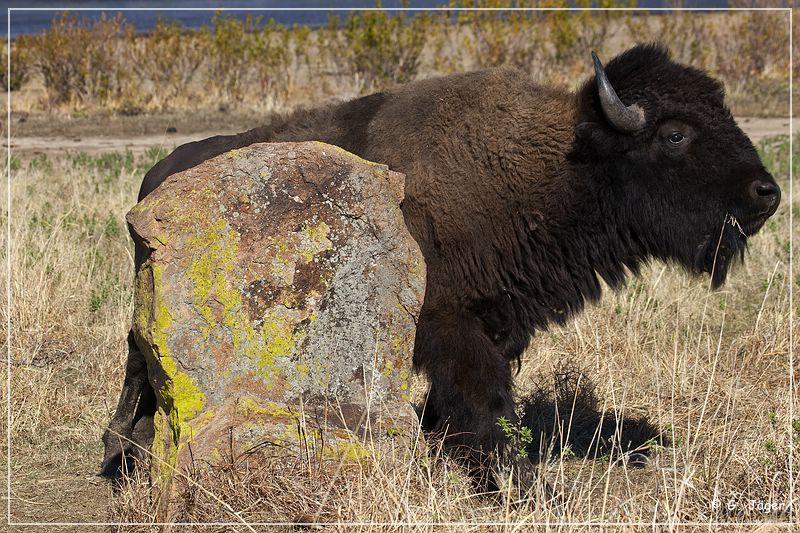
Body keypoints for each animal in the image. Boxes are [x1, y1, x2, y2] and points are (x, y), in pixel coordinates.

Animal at [101, 42, 780, 494]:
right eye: (674, 134)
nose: (766, 193)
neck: (558, 166)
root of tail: (154, 177)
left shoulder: (504, 318)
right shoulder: (448, 322)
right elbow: (486, 393)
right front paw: (517, 482)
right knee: (141, 368)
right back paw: (121, 456)